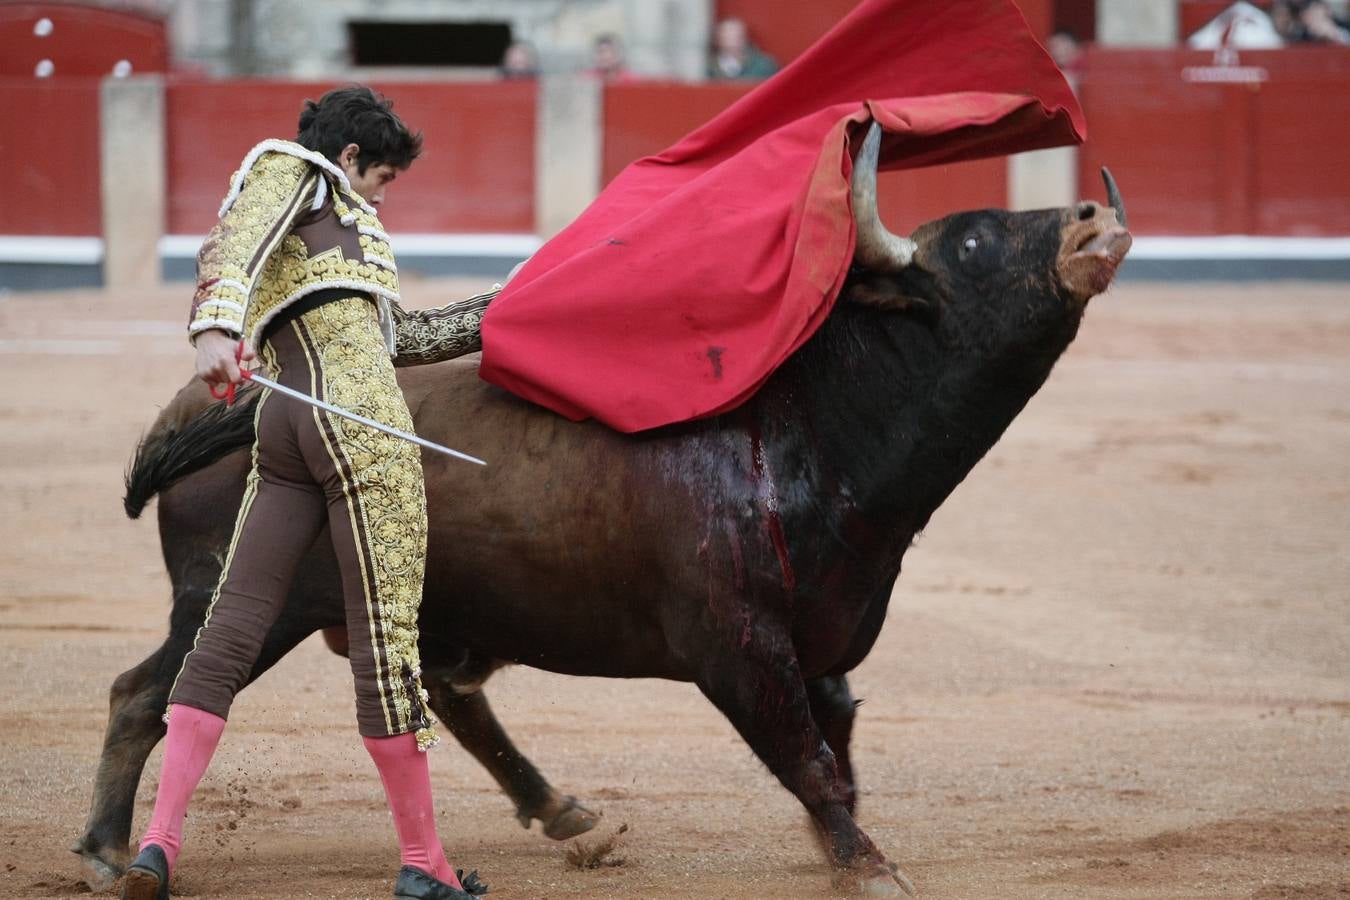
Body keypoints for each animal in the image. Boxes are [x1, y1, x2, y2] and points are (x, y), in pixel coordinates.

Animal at [73, 128, 1128, 900]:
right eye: (974, 241)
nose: (1092, 219)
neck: (808, 431)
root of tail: (232, 403)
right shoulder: (738, 649)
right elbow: (808, 759)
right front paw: (870, 870)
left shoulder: (824, 645)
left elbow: (836, 752)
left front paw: (847, 856)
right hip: (246, 599)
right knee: (152, 692)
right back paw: (110, 854)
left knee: (439, 694)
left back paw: (562, 812)